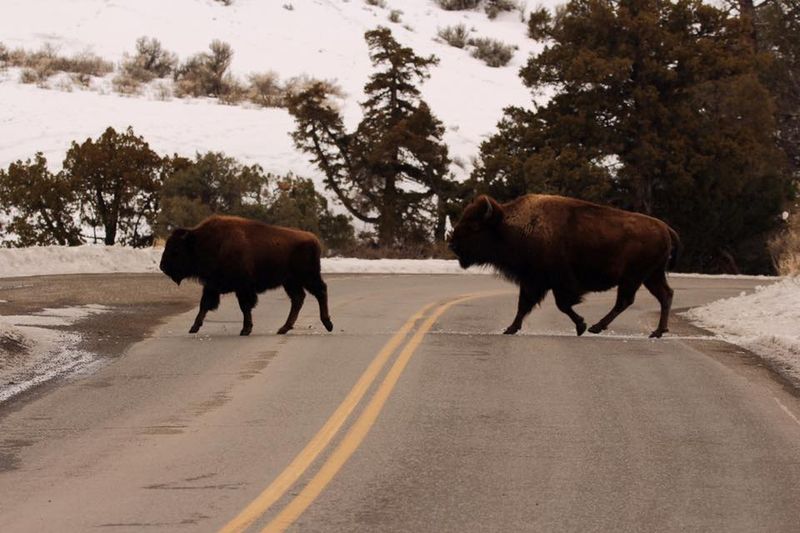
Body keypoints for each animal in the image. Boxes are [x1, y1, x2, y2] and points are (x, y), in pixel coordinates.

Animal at [159, 215, 333, 336]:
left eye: (176, 250)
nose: (162, 266)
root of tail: (313, 239)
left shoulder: (242, 287)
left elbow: (244, 307)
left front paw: (245, 330)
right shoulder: (212, 285)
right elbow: (205, 305)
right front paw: (193, 328)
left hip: (307, 277)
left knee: (320, 292)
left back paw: (328, 324)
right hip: (291, 282)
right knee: (298, 299)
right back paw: (283, 328)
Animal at [448, 194, 681, 338]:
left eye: (474, 226)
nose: (452, 244)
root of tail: (666, 228)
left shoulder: (556, 281)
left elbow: (562, 304)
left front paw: (581, 325)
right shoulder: (532, 281)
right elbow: (523, 305)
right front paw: (510, 328)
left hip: (634, 277)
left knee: (626, 300)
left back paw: (597, 327)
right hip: (651, 276)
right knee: (665, 295)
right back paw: (657, 332)